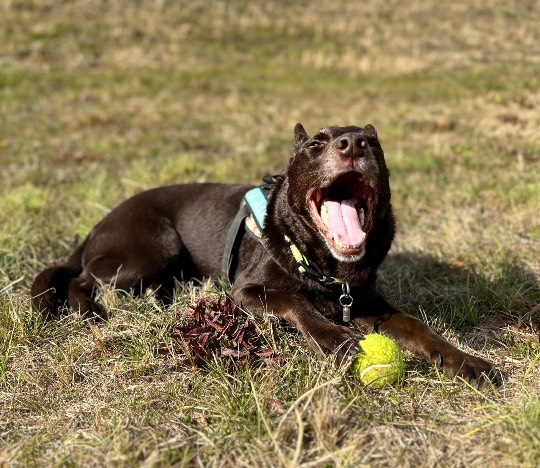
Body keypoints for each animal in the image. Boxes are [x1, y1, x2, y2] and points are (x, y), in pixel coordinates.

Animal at [32, 122, 498, 386]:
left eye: (374, 143)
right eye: (315, 144)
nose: (354, 144)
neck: (325, 268)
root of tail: (97, 225)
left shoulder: (368, 303)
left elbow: (418, 327)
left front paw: (467, 362)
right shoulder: (246, 292)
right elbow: (293, 300)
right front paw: (335, 340)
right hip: (152, 249)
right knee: (80, 278)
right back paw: (89, 311)